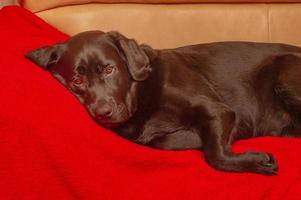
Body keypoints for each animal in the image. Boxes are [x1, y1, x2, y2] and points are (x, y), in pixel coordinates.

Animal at [25, 30, 301, 174]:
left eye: (109, 69)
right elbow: (166, 141)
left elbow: (215, 155)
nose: (103, 112)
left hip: (286, 73)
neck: (142, 94)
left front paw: (258, 161)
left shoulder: (217, 110)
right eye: (77, 81)